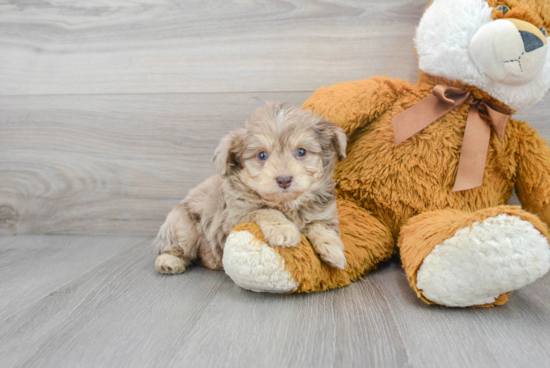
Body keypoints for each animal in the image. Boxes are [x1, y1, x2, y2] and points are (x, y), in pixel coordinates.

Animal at [153, 102, 348, 274]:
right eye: (261, 155)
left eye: (301, 152)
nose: (284, 180)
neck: (286, 203)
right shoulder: (234, 218)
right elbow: (266, 210)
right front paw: (283, 230)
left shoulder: (324, 214)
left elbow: (321, 226)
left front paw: (334, 250)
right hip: (181, 225)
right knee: (177, 248)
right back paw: (168, 261)